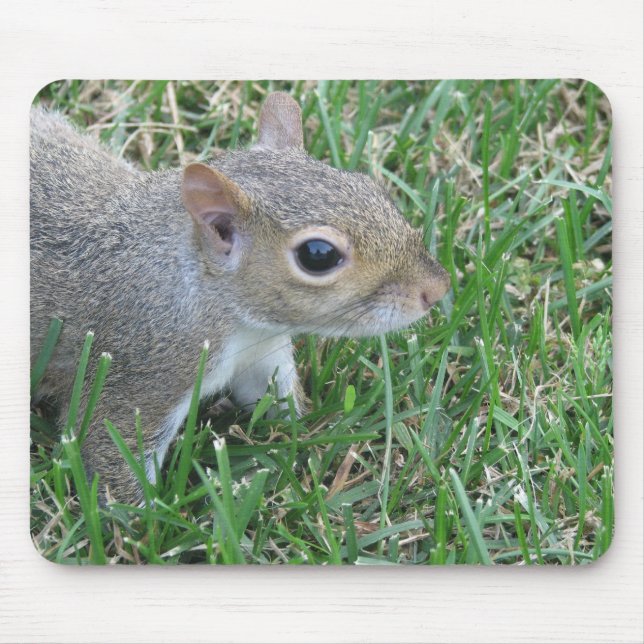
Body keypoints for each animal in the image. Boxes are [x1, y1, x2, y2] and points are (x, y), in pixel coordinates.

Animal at [30, 91, 451, 504]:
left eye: (373, 188)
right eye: (318, 255)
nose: (436, 288)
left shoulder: (263, 355)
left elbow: (276, 403)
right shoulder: (146, 368)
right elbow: (112, 444)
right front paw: (139, 517)